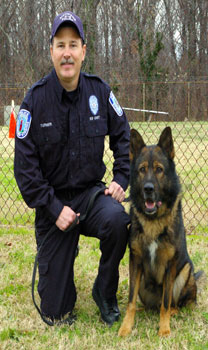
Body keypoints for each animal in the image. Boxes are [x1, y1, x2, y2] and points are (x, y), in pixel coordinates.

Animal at [118, 128, 203, 336]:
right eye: (142, 169)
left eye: (159, 169)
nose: (148, 189)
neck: (153, 220)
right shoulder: (135, 261)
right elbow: (131, 301)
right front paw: (126, 326)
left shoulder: (170, 265)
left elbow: (166, 301)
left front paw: (164, 329)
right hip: (142, 282)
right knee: (146, 304)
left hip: (185, 272)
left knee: (175, 304)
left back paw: (172, 313)